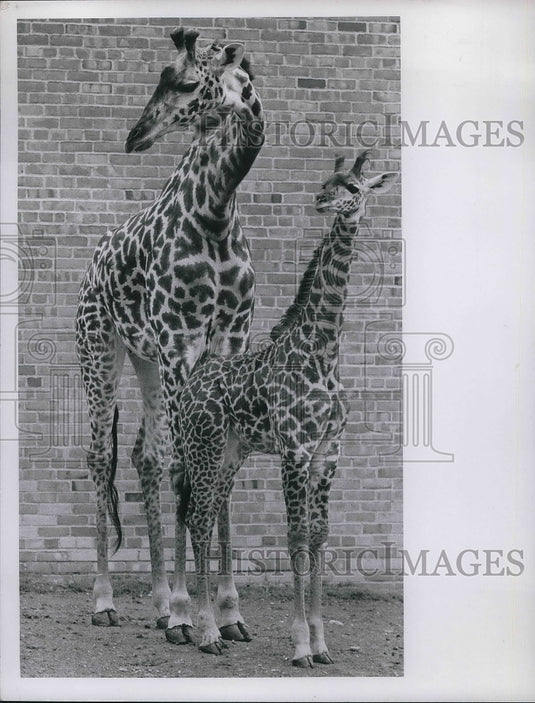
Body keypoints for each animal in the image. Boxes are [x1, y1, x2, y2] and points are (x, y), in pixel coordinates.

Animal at [74, 28, 264, 641]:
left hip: (148, 359)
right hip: (100, 350)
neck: (217, 214)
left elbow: (219, 470)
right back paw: (108, 602)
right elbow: (189, 470)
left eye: (183, 82)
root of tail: (91, 264)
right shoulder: (181, 341)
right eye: (162, 75)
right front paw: (194, 616)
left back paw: (157, 604)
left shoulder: (228, 341)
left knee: (146, 456)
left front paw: (229, 613)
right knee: (102, 458)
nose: (135, 135)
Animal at [174, 151, 398, 665]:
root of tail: (194, 381)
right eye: (326, 180)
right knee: (196, 516)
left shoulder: (327, 452)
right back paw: (205, 631)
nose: (323, 201)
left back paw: (206, 624)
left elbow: (318, 538)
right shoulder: (295, 449)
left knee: (203, 512)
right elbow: (294, 537)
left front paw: (321, 642)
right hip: (202, 447)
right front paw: (299, 645)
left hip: (231, 453)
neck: (324, 351)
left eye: (354, 187)